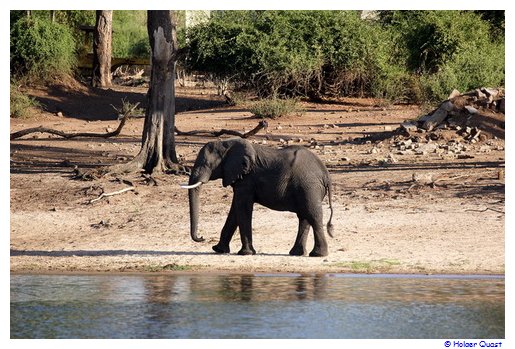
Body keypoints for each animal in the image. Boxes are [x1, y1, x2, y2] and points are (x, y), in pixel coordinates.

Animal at [181, 138, 334, 256]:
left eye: (206, 164)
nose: (202, 237)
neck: (226, 144)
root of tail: (326, 173)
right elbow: (235, 211)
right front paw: (218, 250)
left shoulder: (247, 179)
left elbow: (242, 208)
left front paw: (245, 253)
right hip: (308, 188)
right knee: (304, 217)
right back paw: (297, 253)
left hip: (309, 186)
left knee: (312, 215)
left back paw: (318, 255)